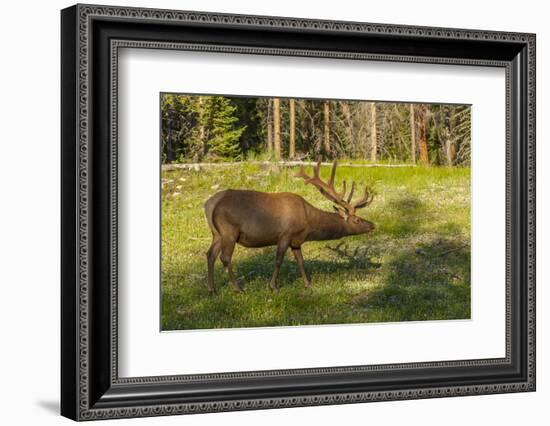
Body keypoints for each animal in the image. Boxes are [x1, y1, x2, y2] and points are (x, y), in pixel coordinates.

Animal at [204, 160, 376, 292]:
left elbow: (301, 261)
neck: (309, 223)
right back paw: (238, 288)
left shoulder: (296, 241)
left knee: (210, 254)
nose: (372, 225)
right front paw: (273, 286)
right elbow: (279, 260)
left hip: (216, 233)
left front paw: (308, 285)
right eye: (356, 220)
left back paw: (212, 289)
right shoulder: (285, 234)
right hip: (229, 230)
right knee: (225, 257)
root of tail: (209, 205)